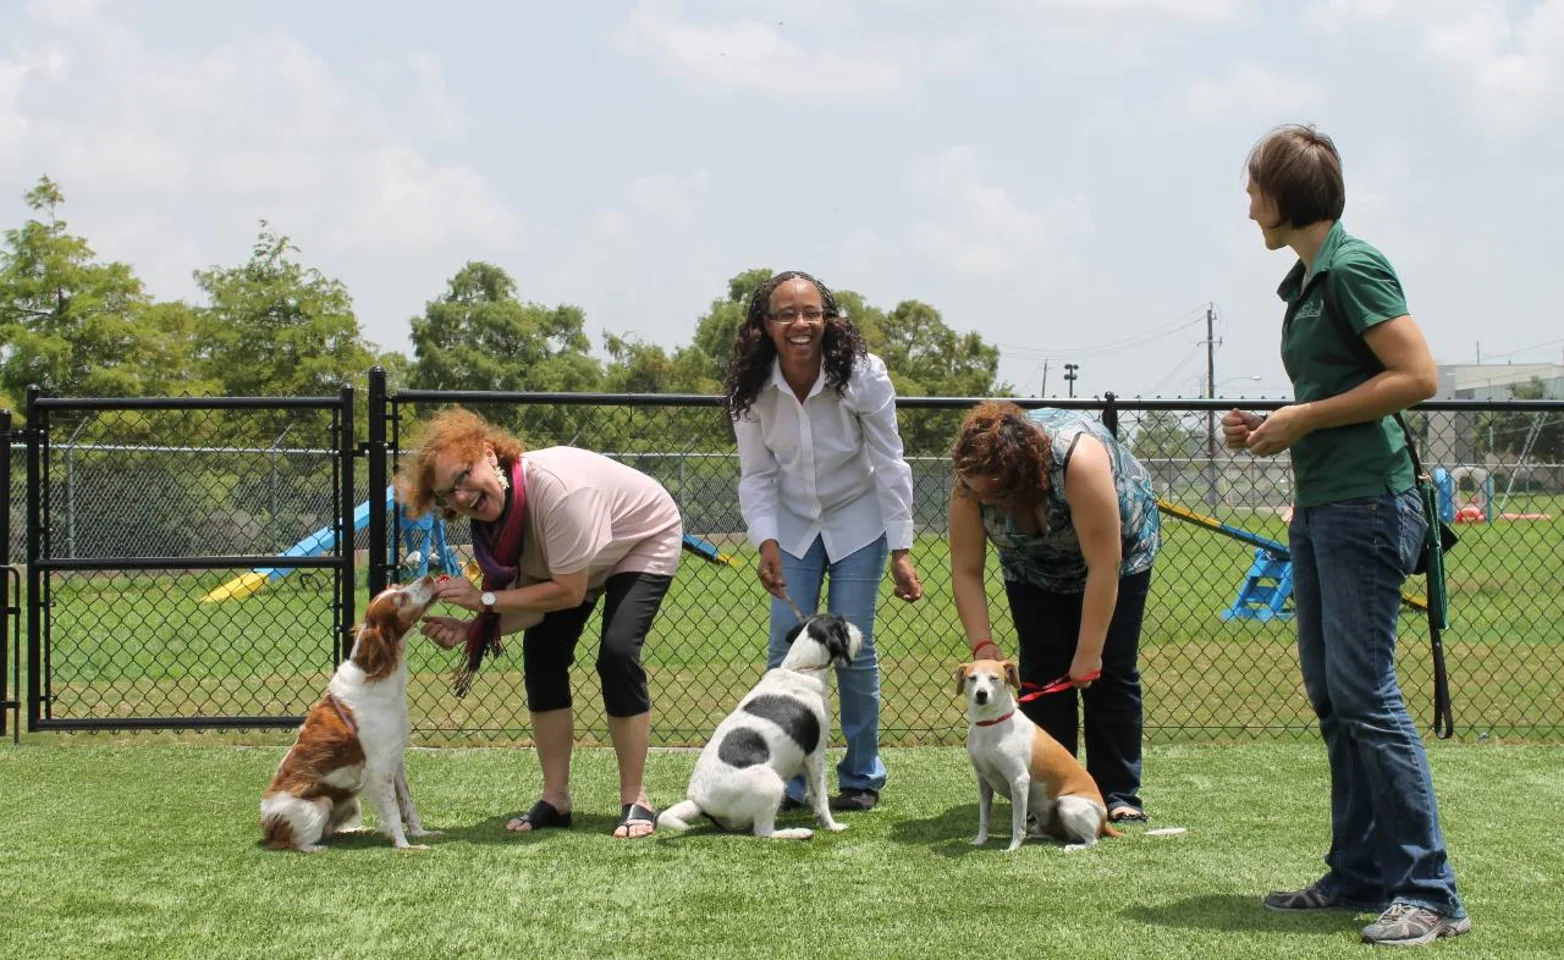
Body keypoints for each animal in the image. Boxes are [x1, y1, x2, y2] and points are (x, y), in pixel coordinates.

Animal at [258, 575, 441, 856]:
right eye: (400, 599)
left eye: (397, 587)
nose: (429, 577)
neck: (379, 674)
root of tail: (266, 825)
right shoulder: (380, 766)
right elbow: (393, 810)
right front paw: (405, 845)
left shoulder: (396, 760)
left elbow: (407, 803)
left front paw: (420, 833)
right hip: (319, 804)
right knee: (293, 842)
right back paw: (317, 848)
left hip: (350, 802)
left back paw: (358, 830)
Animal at [653, 616, 863, 844]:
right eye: (842, 624)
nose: (859, 629)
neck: (801, 669)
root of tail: (699, 802)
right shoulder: (815, 756)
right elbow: (821, 796)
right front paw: (832, 825)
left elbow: (815, 797)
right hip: (771, 783)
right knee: (764, 832)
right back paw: (798, 832)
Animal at [957, 659, 1119, 856]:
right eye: (972, 678)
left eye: (994, 678)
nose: (981, 694)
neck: (990, 724)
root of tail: (1104, 820)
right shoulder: (984, 781)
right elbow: (984, 817)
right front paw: (980, 840)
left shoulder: (1019, 780)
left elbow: (1018, 823)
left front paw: (1012, 848)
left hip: (1067, 804)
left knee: (1092, 840)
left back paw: (1073, 847)